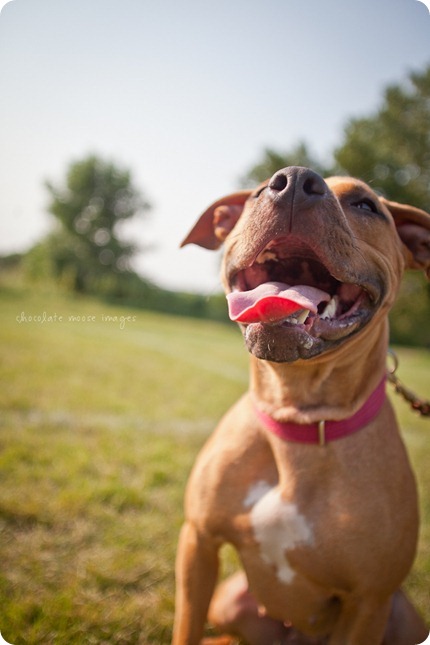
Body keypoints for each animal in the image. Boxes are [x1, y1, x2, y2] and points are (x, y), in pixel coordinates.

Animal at [172, 167, 430, 644]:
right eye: (257, 191)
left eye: (365, 204)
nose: (294, 181)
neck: (299, 415)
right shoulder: (198, 542)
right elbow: (186, 628)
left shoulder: (369, 602)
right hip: (229, 598)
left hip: (401, 615)